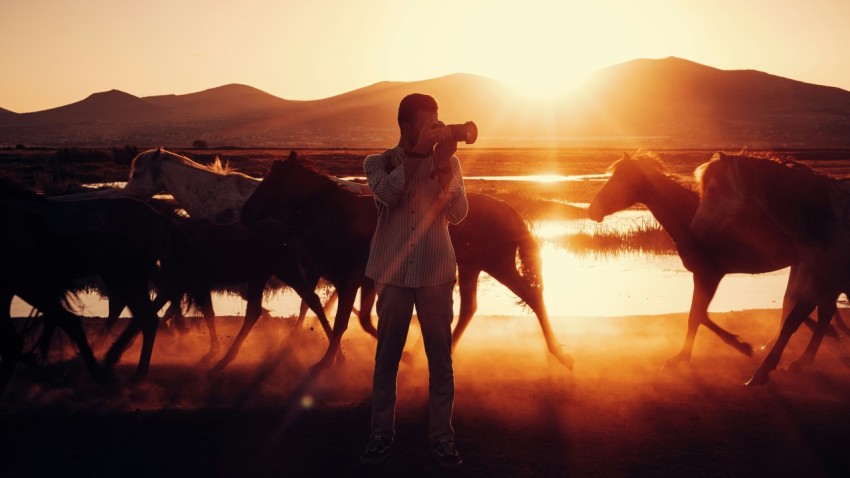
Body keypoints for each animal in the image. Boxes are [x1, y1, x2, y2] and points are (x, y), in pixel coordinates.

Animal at [124, 148, 568, 368]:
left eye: (272, 181)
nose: (247, 215)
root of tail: (509, 209)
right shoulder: (339, 277)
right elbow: (349, 316)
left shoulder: (345, 277)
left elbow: (338, 318)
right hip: (473, 268)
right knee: (472, 308)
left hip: (497, 265)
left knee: (532, 296)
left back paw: (560, 354)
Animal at [588, 152, 840, 366]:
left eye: (621, 179)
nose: (592, 210)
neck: (692, 220)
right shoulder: (706, 276)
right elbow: (700, 315)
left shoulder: (708, 275)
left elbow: (696, 316)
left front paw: (688, 356)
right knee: (808, 305)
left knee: (819, 308)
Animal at [688, 152, 848, 384]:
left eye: (714, 189)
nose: (695, 229)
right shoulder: (821, 280)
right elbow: (792, 321)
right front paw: (763, 371)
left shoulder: (826, 281)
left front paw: (762, 371)